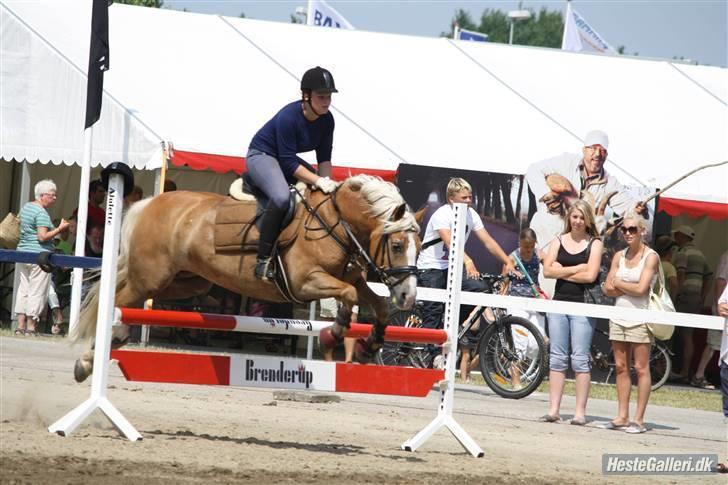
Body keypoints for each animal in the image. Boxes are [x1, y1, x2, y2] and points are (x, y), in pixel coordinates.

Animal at [71, 175, 424, 382]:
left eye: (420, 248)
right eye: (397, 245)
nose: (408, 297)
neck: (336, 223)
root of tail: (148, 203)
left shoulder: (353, 279)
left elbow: (377, 304)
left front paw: (369, 346)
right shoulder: (305, 282)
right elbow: (348, 295)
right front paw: (332, 335)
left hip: (184, 280)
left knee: (123, 300)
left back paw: (109, 344)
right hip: (150, 278)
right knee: (115, 302)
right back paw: (88, 360)